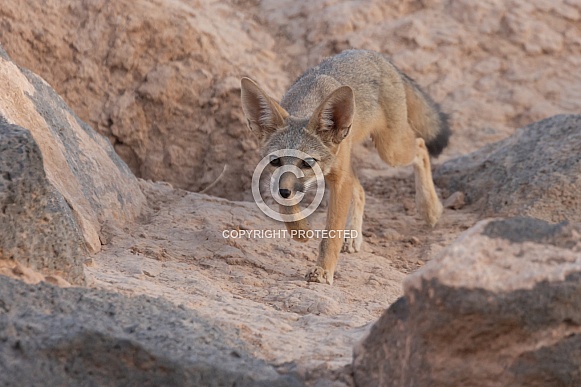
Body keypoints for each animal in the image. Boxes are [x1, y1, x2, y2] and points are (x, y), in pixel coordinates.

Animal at [240, 49, 448, 284]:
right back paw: (353, 236)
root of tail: (373, 54)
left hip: (390, 151)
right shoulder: (284, 180)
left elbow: (331, 234)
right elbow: (288, 210)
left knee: (421, 147)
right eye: (275, 161)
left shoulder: (339, 181)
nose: (284, 192)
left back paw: (429, 207)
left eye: (307, 163)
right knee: (362, 189)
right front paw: (301, 232)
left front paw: (322, 270)